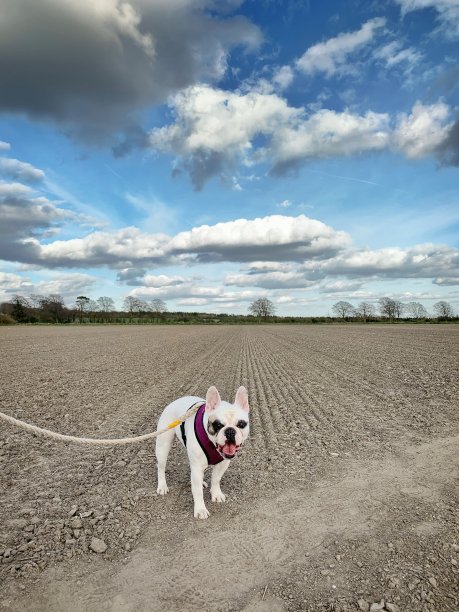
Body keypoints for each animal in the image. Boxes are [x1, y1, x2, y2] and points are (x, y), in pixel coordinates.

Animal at [158, 384, 252, 520]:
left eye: (241, 424)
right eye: (217, 425)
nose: (230, 431)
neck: (213, 444)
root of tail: (175, 401)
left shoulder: (223, 464)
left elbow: (216, 479)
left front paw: (216, 494)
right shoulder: (197, 467)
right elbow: (197, 492)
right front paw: (200, 509)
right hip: (163, 446)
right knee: (161, 467)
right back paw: (162, 486)